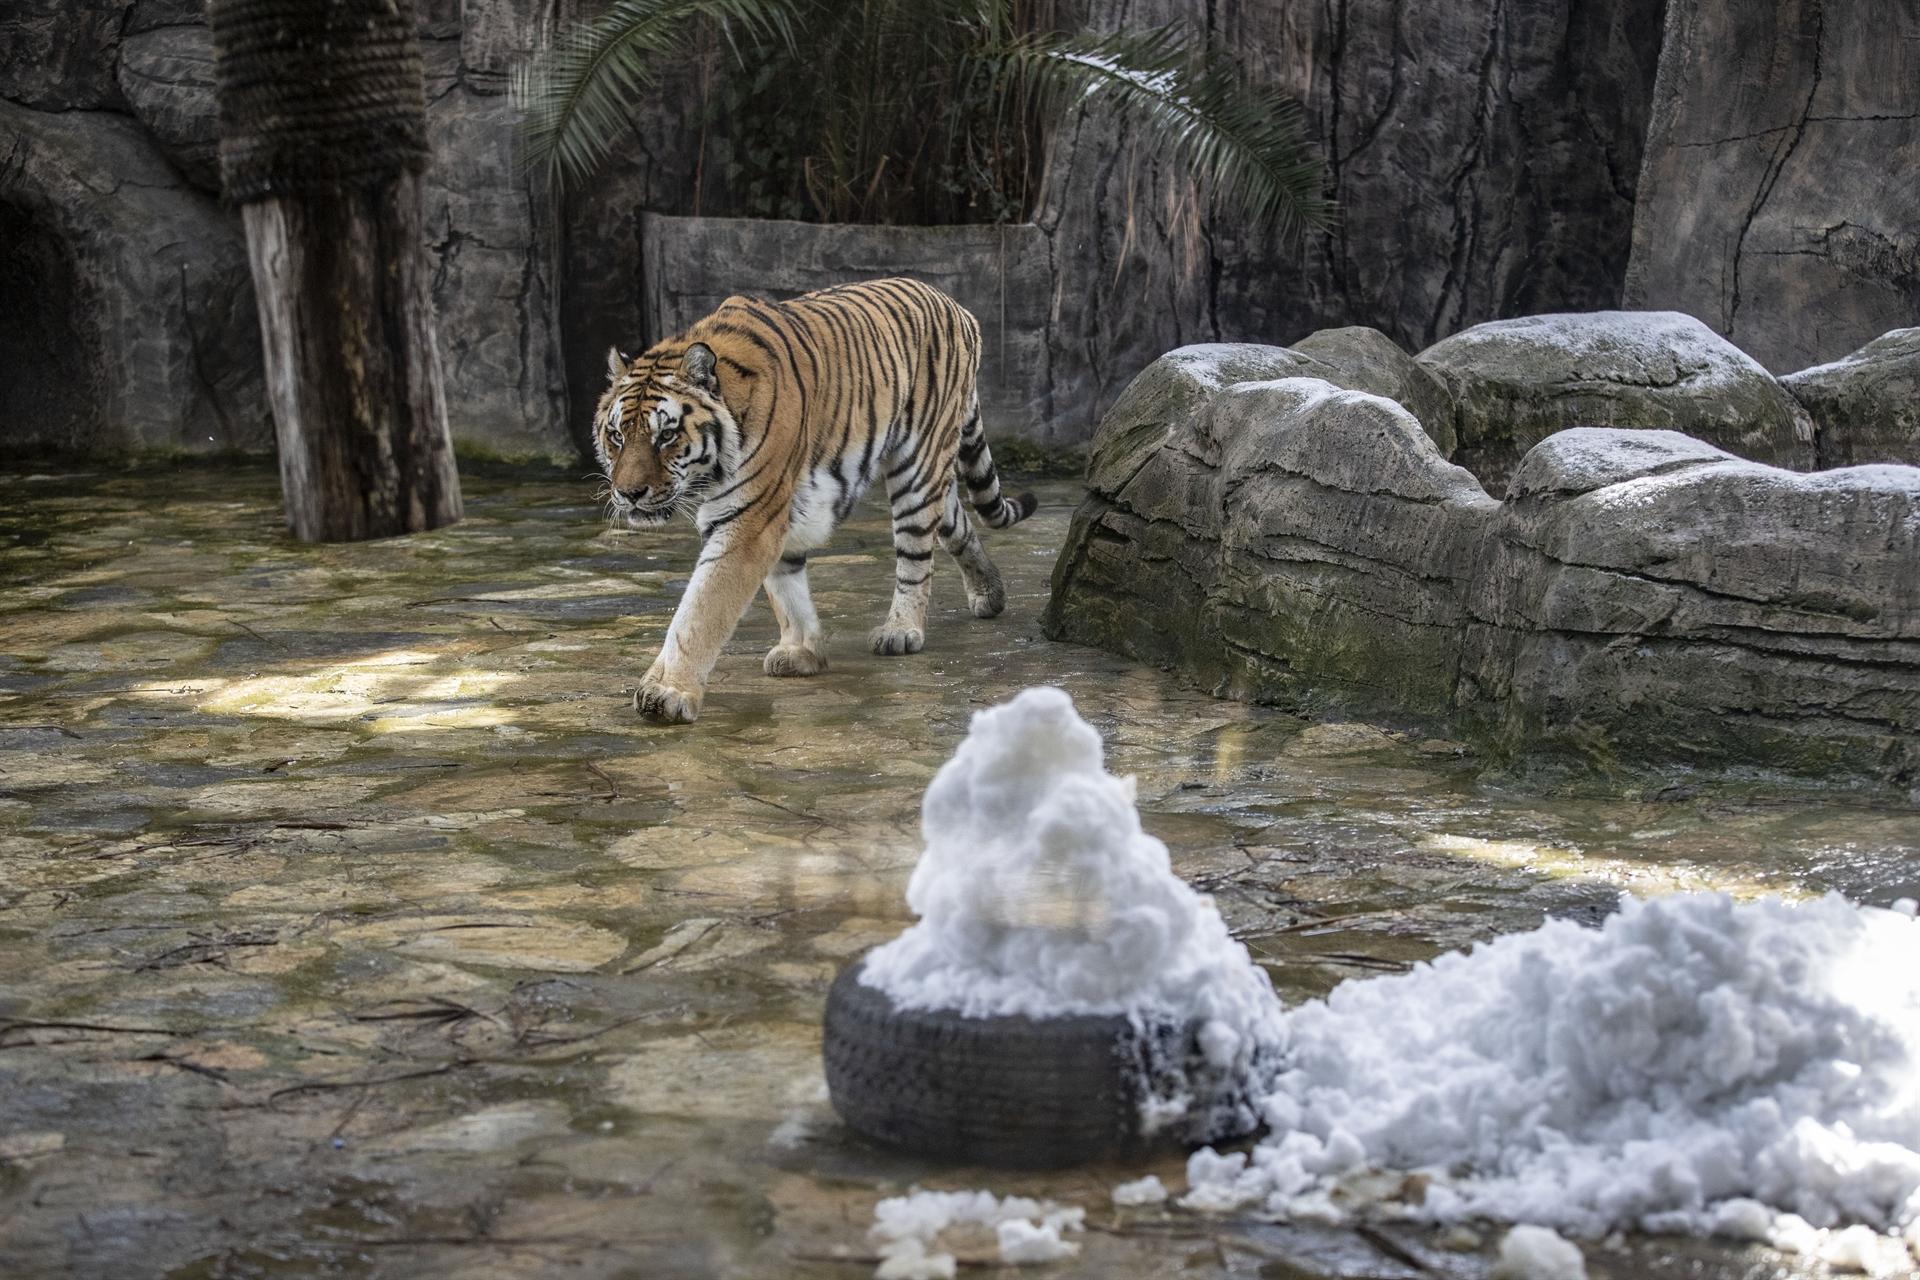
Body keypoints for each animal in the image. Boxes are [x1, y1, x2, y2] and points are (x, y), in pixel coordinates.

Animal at [599, 276, 1044, 725]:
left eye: (666, 435)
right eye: (617, 435)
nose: (629, 493)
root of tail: (956, 305)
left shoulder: (749, 519)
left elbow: (701, 609)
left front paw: (667, 691)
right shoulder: (770, 512)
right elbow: (786, 586)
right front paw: (802, 650)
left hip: (918, 465)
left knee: (916, 554)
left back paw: (902, 631)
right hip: (933, 476)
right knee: (957, 522)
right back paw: (989, 593)